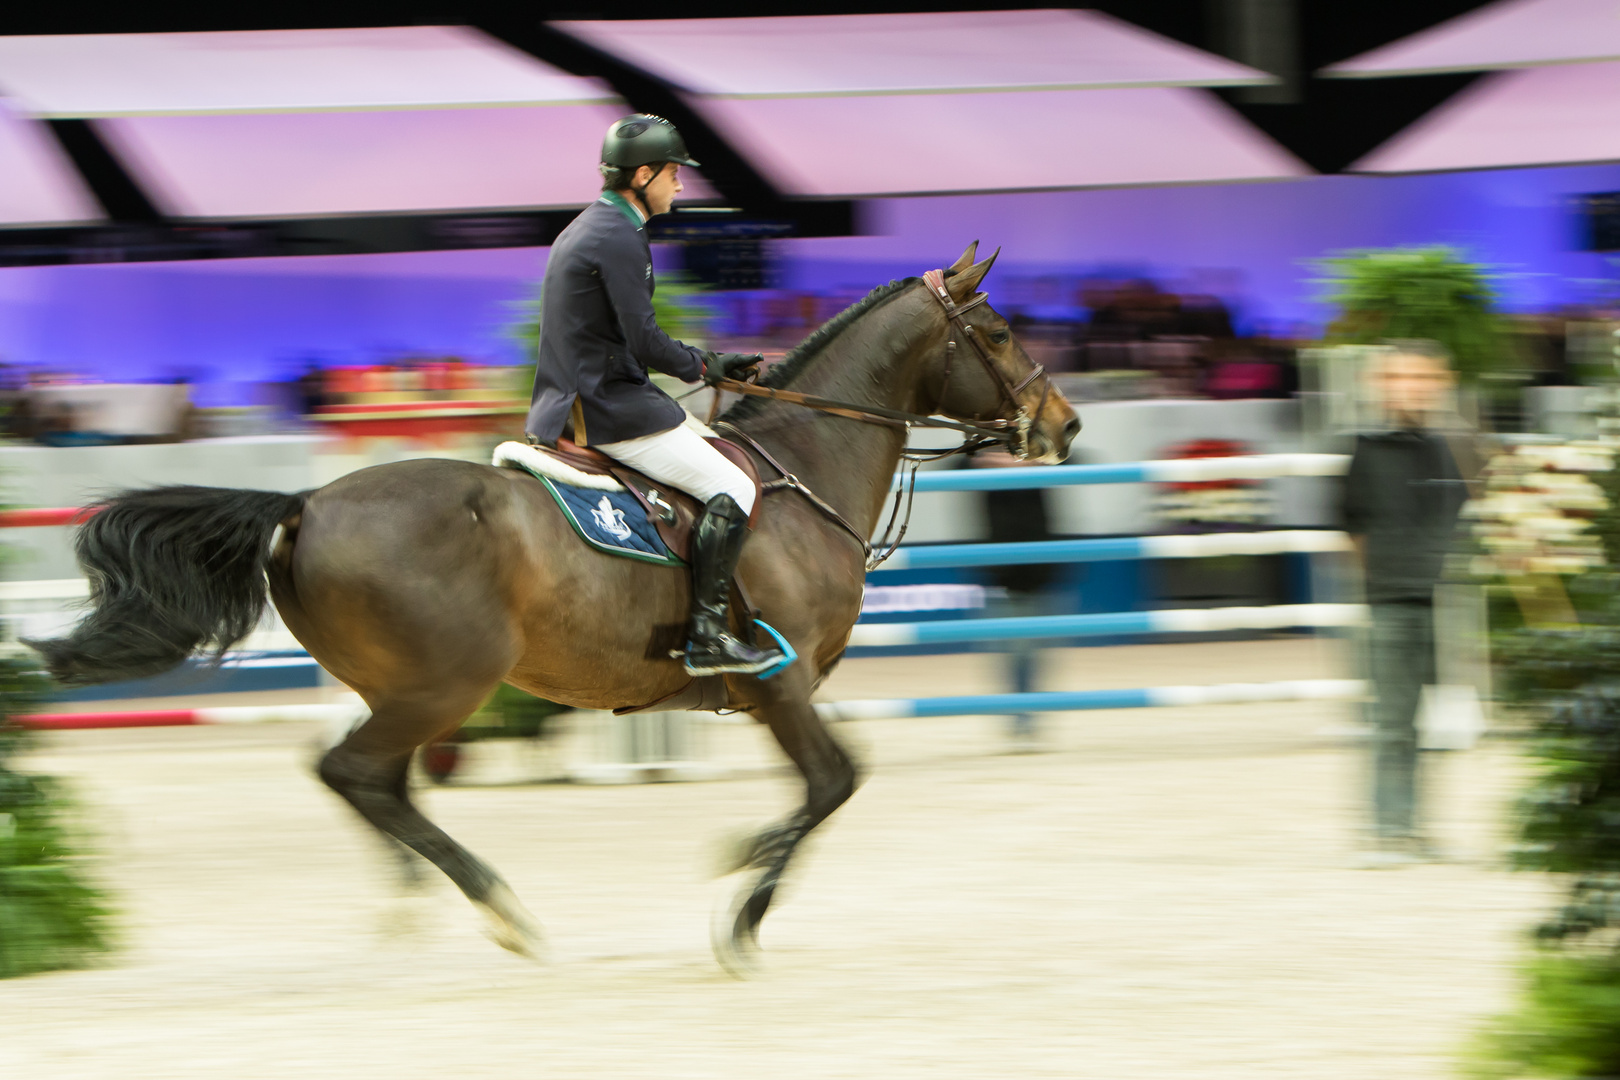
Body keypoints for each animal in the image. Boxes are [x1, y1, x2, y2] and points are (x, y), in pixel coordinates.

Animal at [25, 244, 1075, 971]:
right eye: (996, 333)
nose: (1063, 427)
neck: (798, 471)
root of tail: (306, 504)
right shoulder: (779, 686)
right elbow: (833, 785)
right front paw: (742, 909)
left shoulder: (782, 694)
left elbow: (828, 789)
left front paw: (740, 869)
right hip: (445, 682)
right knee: (353, 772)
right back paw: (496, 908)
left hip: (407, 689)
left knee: (378, 785)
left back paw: (437, 901)